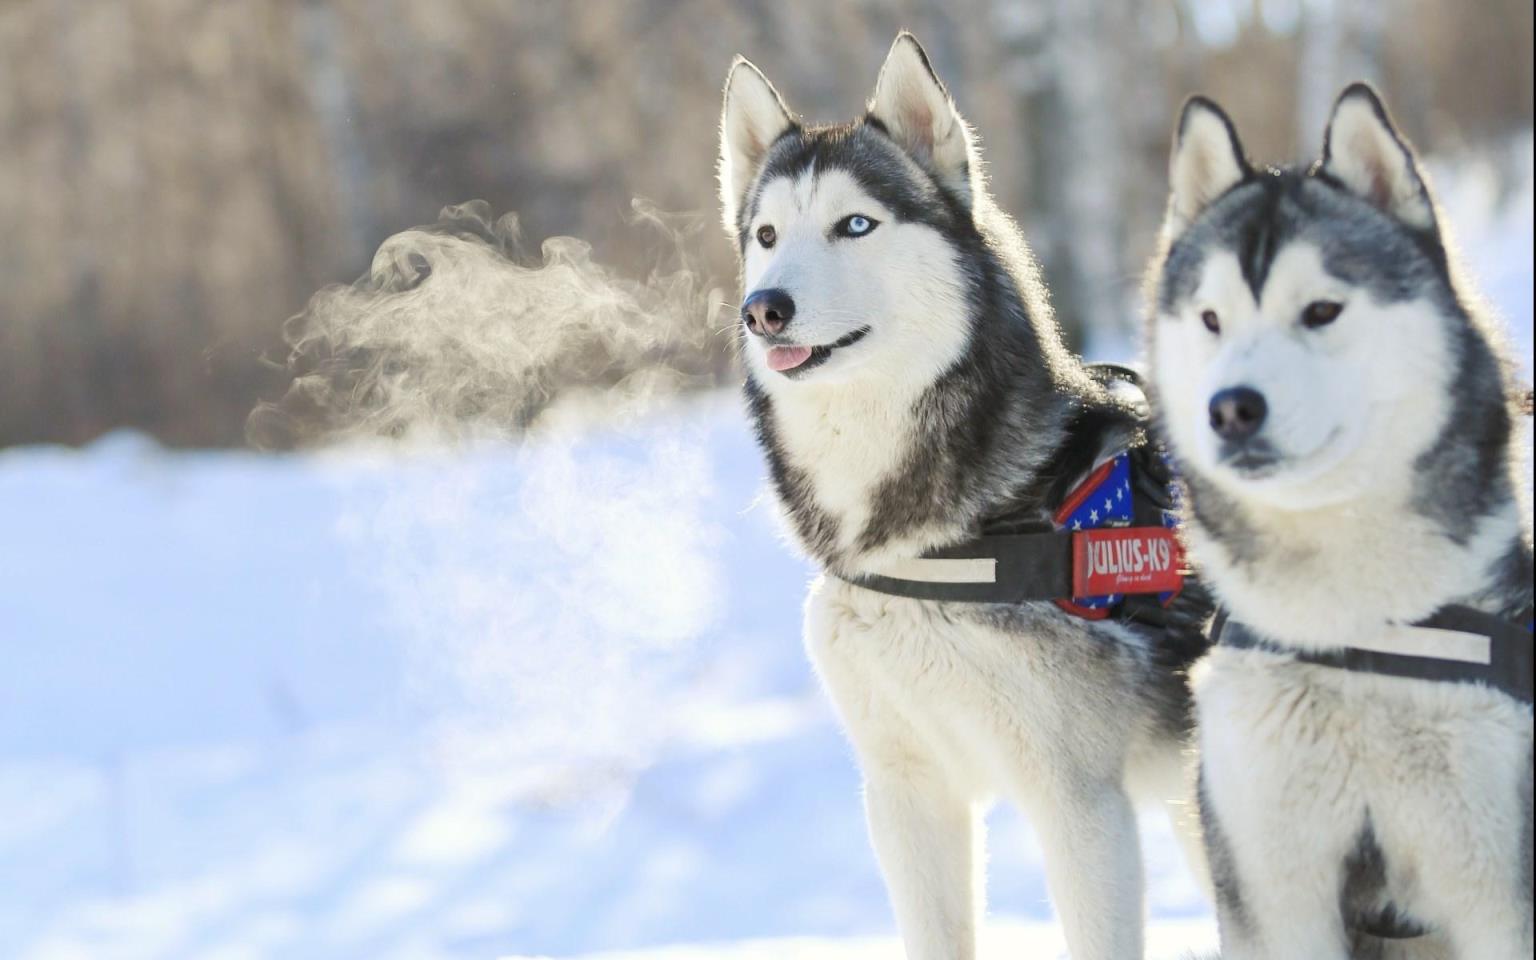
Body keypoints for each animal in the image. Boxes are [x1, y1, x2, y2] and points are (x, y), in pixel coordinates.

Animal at [1155, 84, 1536, 958]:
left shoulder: (1497, 890)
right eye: (1212, 320)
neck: (1354, 629)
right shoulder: (1273, 889)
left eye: (1322, 310)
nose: (1230, 409)